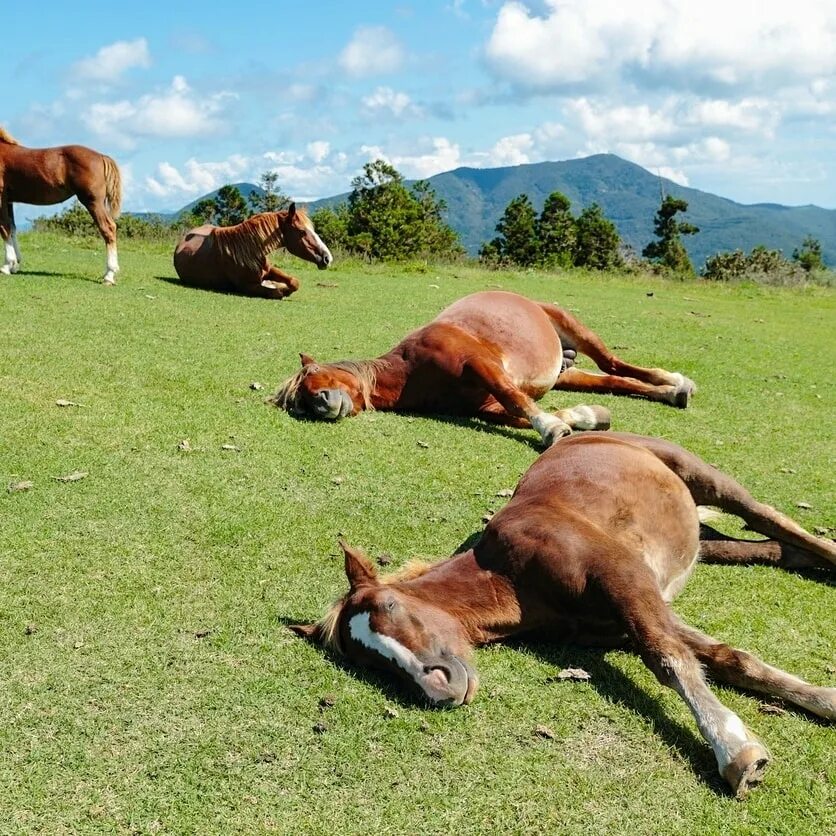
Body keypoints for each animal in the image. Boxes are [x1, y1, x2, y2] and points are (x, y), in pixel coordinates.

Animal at [0, 126, 122, 284]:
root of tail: (101, 156)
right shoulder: (9, 201)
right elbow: (13, 229)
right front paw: (15, 265)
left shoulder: (0, 197)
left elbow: (4, 228)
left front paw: (6, 266)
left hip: (93, 202)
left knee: (108, 228)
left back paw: (109, 275)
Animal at [173, 204, 334, 298]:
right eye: (302, 231)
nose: (327, 258)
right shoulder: (246, 286)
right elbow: (278, 292)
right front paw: (277, 286)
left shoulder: (270, 269)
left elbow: (294, 282)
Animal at [272, 292, 692, 448]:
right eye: (299, 404)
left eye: (312, 376)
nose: (319, 403)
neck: (411, 371)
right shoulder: (483, 407)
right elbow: (520, 410)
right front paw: (584, 418)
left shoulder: (481, 365)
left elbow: (516, 399)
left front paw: (552, 429)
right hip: (566, 374)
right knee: (614, 379)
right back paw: (670, 392)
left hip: (573, 327)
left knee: (614, 364)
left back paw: (675, 382)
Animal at [292, 434, 836, 800]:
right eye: (370, 662)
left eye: (390, 605)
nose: (439, 688)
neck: (512, 573)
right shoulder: (625, 616)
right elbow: (725, 658)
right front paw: (824, 700)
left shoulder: (625, 580)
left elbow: (668, 659)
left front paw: (737, 753)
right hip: (701, 539)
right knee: (773, 549)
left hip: (706, 479)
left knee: (774, 521)